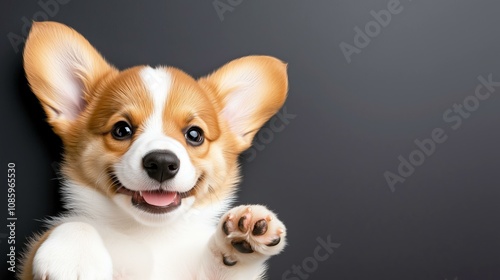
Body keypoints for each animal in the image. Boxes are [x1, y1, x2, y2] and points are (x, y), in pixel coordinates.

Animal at [20, 21, 290, 280]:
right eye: (121, 130)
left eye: (195, 135)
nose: (161, 163)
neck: (151, 234)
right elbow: (75, 224)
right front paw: (72, 256)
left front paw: (244, 234)